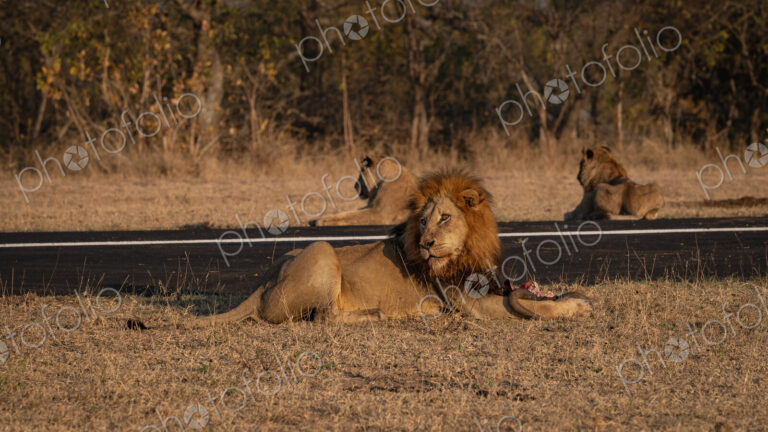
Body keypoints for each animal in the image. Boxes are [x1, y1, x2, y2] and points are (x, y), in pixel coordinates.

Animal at [185, 171, 591, 326]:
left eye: (444, 218)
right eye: (422, 222)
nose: (425, 245)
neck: (468, 248)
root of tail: (261, 284)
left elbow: (534, 296)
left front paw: (570, 297)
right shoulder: (469, 303)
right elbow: (538, 307)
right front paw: (579, 307)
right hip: (322, 251)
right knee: (322, 318)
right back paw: (377, 314)